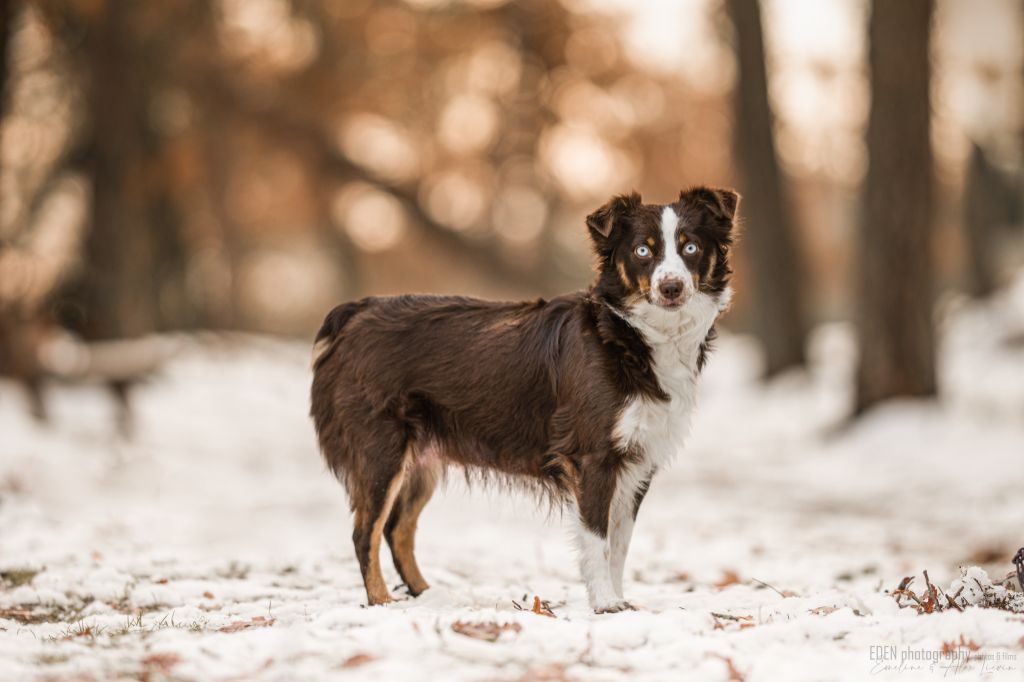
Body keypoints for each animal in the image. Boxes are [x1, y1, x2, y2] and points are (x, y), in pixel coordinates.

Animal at [309, 186, 737, 610]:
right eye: (643, 251)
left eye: (691, 247)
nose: (671, 288)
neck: (628, 334)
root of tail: (357, 311)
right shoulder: (594, 458)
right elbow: (597, 542)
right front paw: (604, 603)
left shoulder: (638, 461)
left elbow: (619, 545)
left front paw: (618, 601)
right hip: (380, 451)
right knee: (365, 532)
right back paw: (382, 602)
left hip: (421, 462)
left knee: (397, 530)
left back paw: (429, 597)